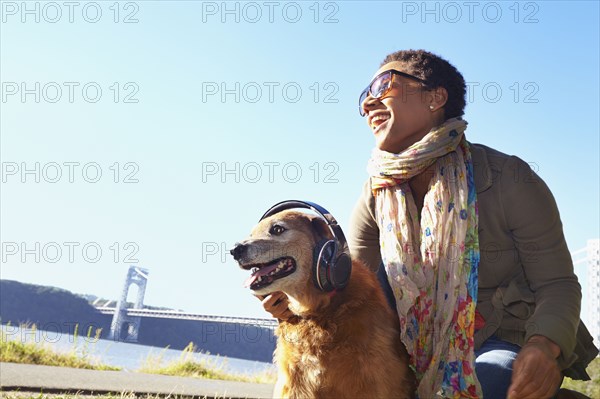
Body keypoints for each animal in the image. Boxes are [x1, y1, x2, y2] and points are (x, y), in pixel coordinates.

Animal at [232, 211, 414, 398]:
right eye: (252, 234)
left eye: (277, 229)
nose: (235, 250)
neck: (315, 312)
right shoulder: (294, 383)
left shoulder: (371, 382)